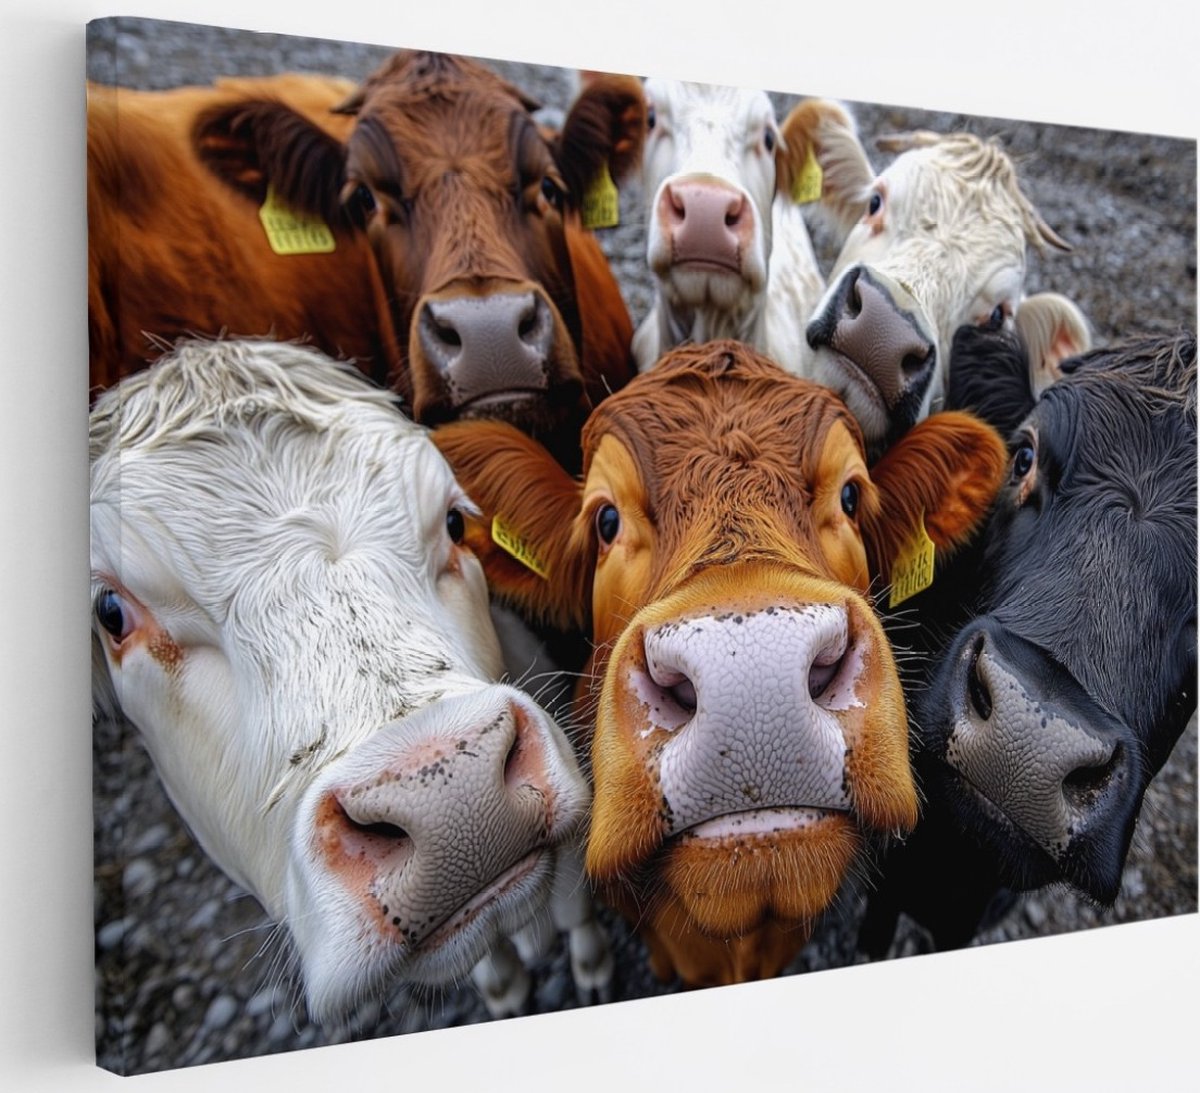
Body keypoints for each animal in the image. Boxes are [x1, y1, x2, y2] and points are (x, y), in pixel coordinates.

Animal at [90, 338, 598, 1022]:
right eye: (110, 613)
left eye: (455, 523)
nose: (452, 799)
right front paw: (505, 990)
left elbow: (574, 900)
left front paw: (591, 969)